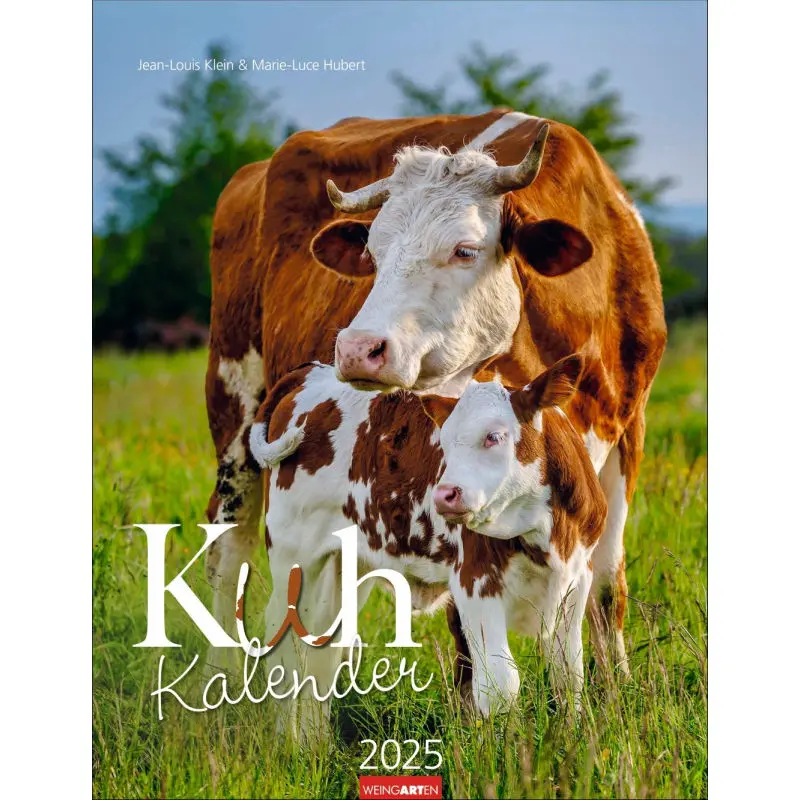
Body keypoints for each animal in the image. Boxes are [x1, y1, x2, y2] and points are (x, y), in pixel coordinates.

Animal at [204, 110, 667, 677]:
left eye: (465, 249)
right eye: (372, 253)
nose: (356, 349)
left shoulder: (626, 439)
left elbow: (605, 591)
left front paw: (617, 689)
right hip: (235, 406)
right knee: (229, 549)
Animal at [247, 355, 607, 738]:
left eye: (494, 436)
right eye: (444, 441)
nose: (444, 494)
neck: (545, 531)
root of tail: (312, 372)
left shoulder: (578, 577)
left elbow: (569, 675)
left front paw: (571, 740)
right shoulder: (475, 580)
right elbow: (499, 684)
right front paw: (505, 750)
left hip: (344, 566)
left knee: (323, 651)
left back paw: (315, 742)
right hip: (292, 556)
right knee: (284, 647)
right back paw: (288, 741)